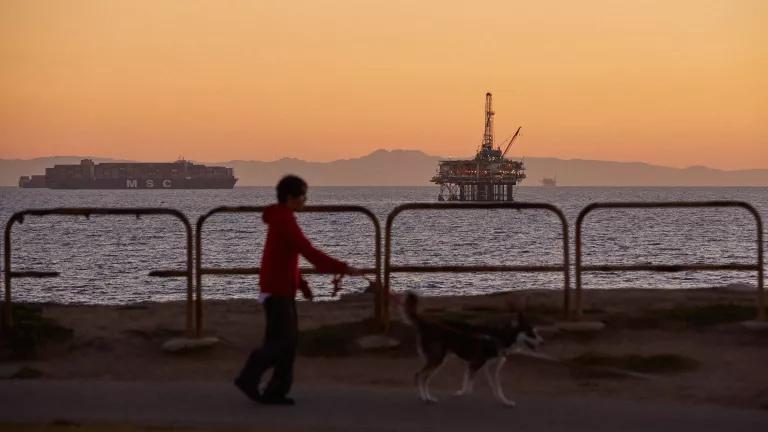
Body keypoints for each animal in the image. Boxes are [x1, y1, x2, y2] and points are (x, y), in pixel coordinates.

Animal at [402, 292, 540, 406]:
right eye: (531, 333)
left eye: (535, 332)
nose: (542, 341)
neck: (500, 338)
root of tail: (425, 323)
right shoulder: (475, 364)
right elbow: (468, 387)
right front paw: (460, 394)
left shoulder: (490, 369)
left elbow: (497, 388)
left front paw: (505, 401)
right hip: (437, 359)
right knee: (419, 375)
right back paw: (425, 398)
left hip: (439, 360)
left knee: (424, 378)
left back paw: (427, 397)